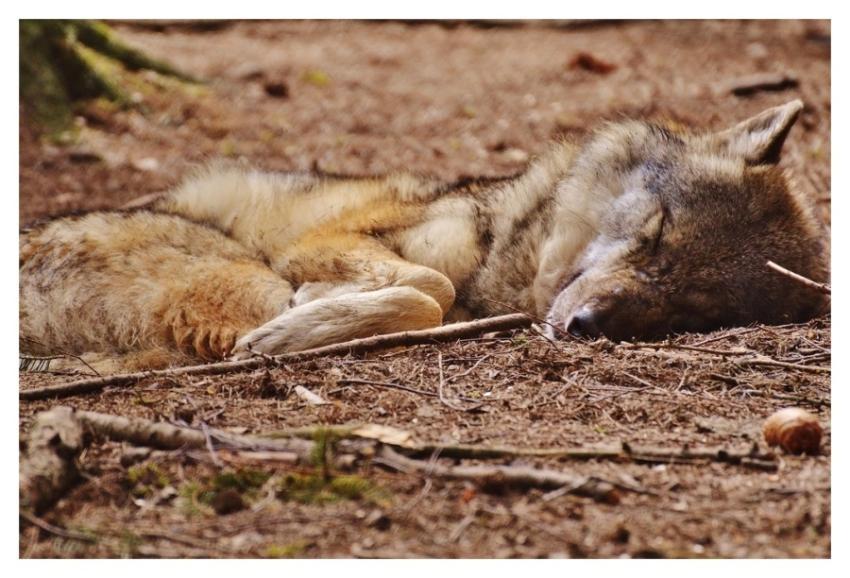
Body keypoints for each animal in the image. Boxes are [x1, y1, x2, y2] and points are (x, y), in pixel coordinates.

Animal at [19, 100, 828, 371]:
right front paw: (297, 329)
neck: (500, 248)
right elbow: (429, 286)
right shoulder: (329, 238)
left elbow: (429, 294)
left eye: (695, 310)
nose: (588, 325)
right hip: (240, 271)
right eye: (655, 236)